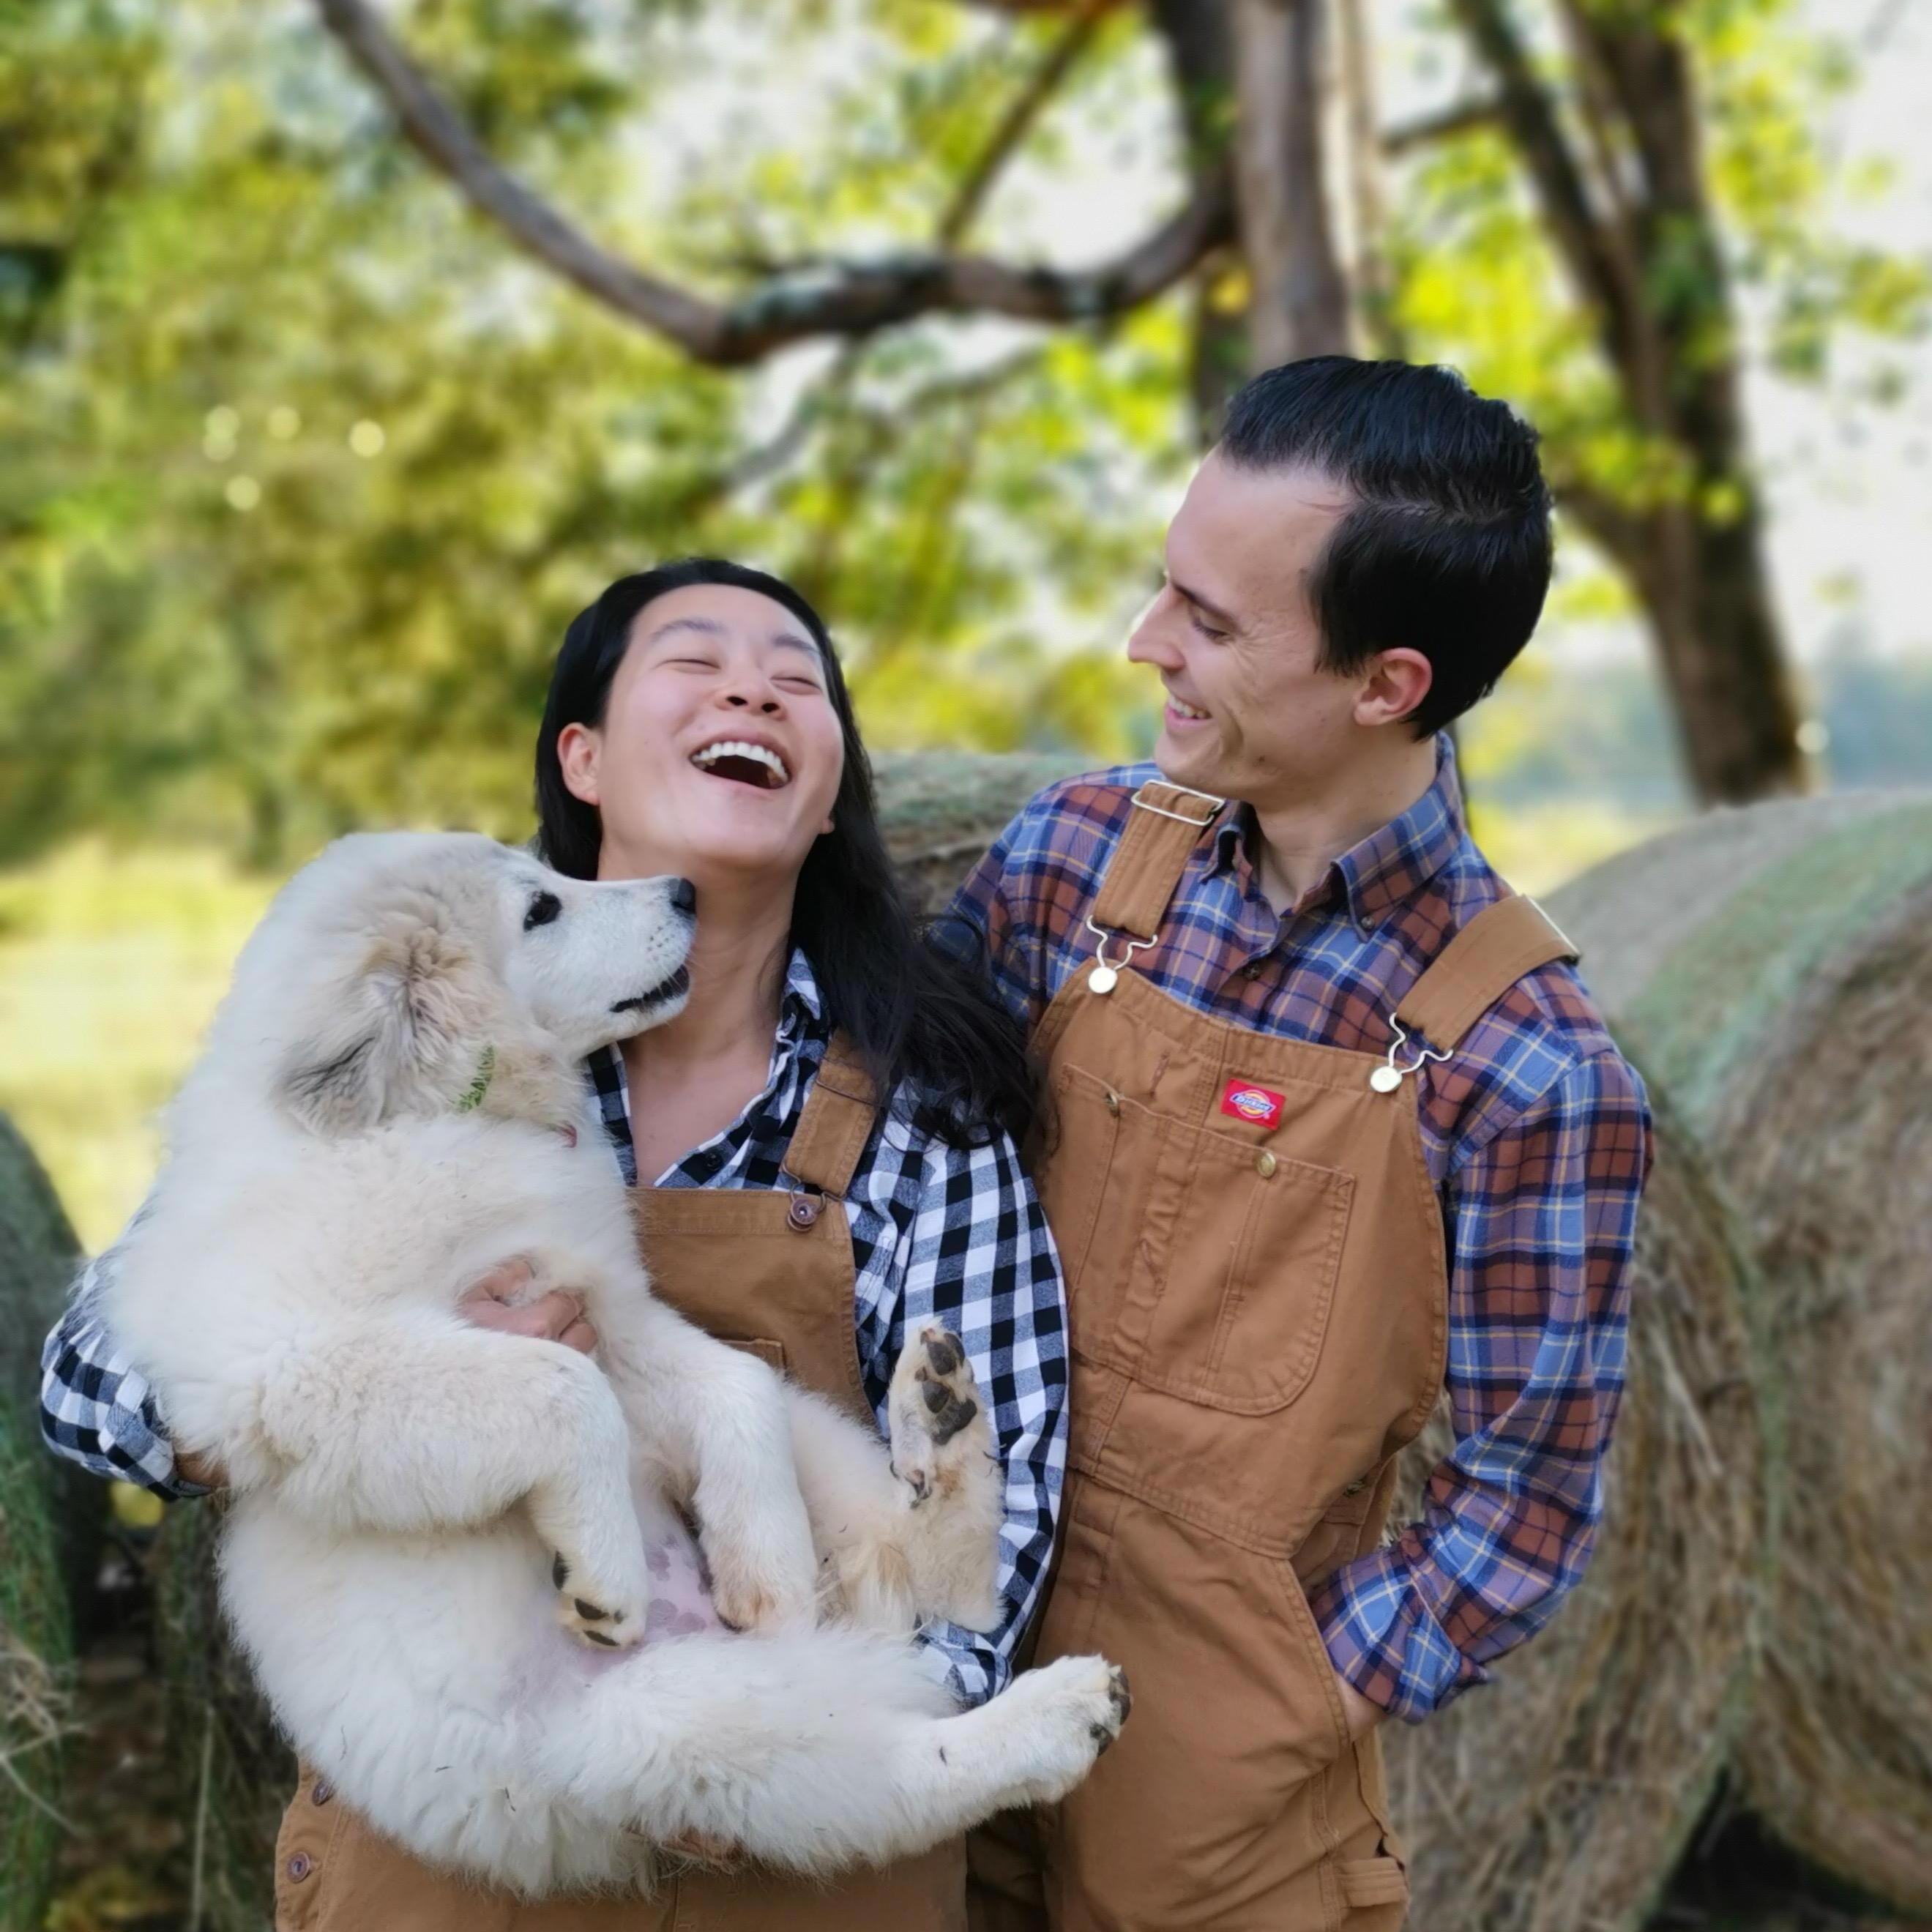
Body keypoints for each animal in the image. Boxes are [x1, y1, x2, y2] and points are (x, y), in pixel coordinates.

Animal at [105, 838, 1128, 1893]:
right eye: (541, 909)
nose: (684, 889)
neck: (447, 1116)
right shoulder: (298, 1357)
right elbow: (565, 1388)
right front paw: (607, 1572)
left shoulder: (611, 1311)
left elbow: (734, 1386)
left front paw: (767, 1564)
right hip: (669, 1728)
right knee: (901, 1766)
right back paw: (1052, 1712)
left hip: (815, 1473)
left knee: (936, 1574)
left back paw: (933, 1424)